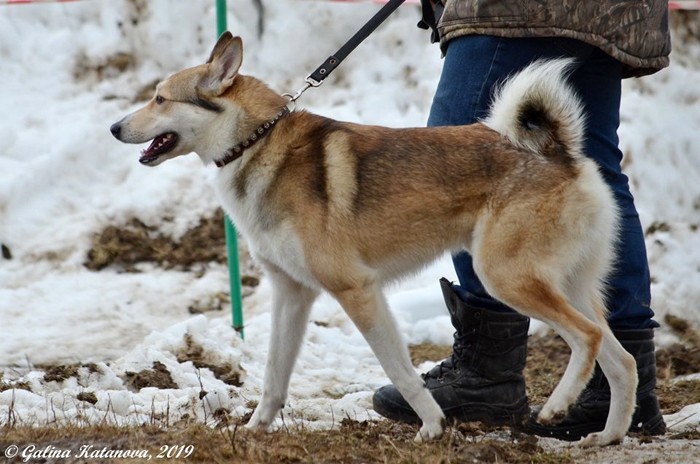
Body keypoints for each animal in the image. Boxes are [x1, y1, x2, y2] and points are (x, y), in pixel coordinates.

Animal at [110, 31, 638, 446]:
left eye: (160, 99)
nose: (115, 127)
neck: (256, 142)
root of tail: (559, 153)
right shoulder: (291, 294)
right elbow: (274, 375)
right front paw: (255, 429)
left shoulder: (357, 290)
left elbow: (399, 371)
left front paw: (431, 426)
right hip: (565, 284)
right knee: (623, 359)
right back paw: (608, 435)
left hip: (506, 278)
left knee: (588, 338)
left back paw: (556, 408)